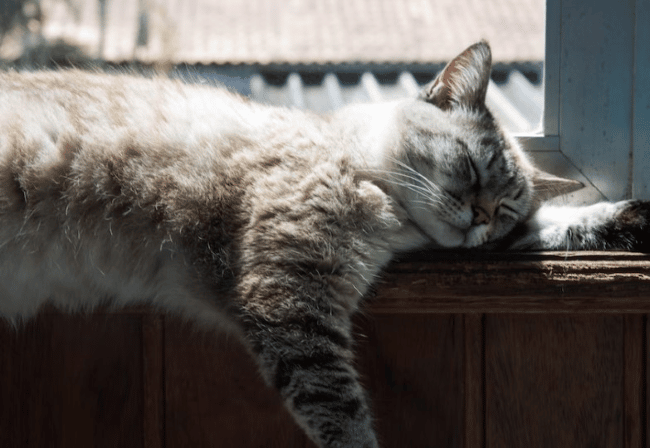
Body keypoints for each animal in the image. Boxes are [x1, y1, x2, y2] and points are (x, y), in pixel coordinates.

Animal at [0, 40, 644, 446]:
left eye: (506, 207)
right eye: (469, 166)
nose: (482, 217)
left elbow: (555, 226)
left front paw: (627, 217)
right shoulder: (290, 295)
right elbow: (343, 415)